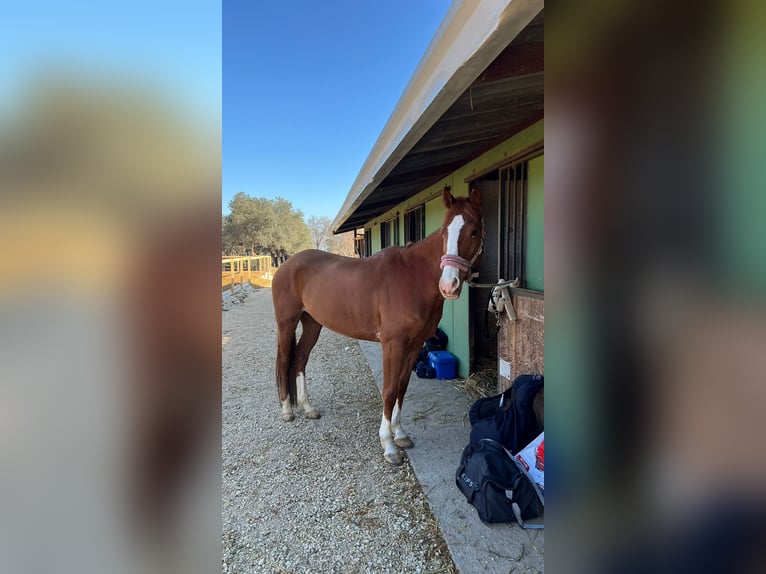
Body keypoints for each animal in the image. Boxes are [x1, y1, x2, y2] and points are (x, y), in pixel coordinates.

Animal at [272, 188, 484, 465]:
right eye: (445, 232)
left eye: (474, 232)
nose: (449, 285)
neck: (412, 277)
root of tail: (285, 264)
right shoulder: (393, 345)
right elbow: (390, 390)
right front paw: (389, 445)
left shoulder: (414, 345)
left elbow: (402, 388)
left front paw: (400, 434)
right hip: (287, 324)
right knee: (285, 361)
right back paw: (287, 410)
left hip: (312, 324)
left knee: (300, 359)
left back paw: (308, 408)